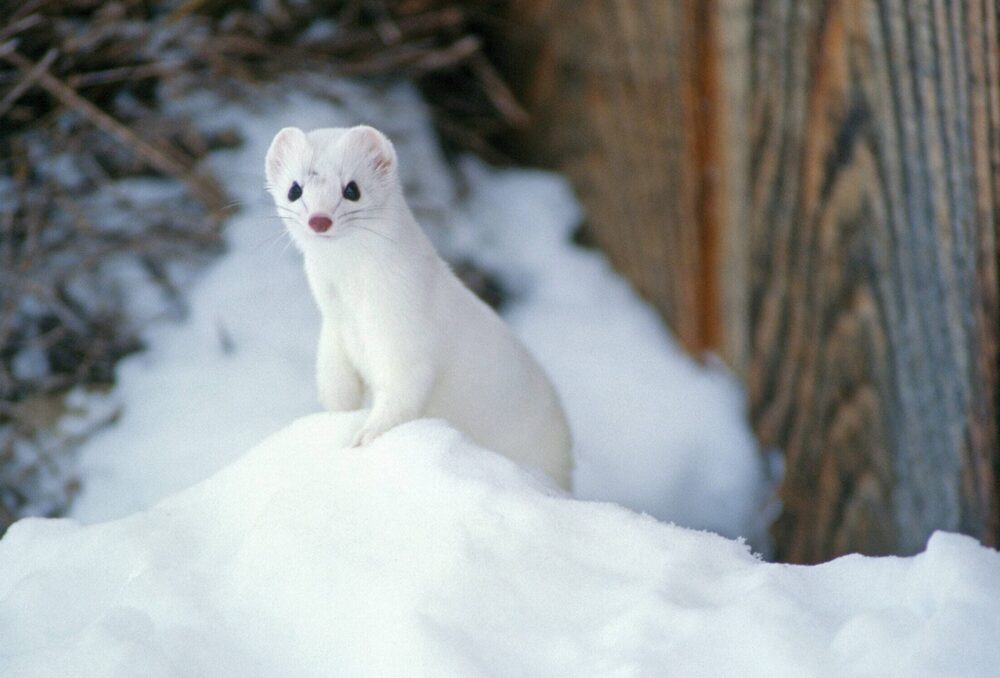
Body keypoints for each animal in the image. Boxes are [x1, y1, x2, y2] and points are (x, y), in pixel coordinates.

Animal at [262, 126, 576, 488]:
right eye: (294, 189)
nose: (319, 220)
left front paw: (364, 436)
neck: (354, 304)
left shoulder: (409, 334)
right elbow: (335, 384)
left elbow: (403, 394)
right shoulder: (334, 333)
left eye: (352, 189)